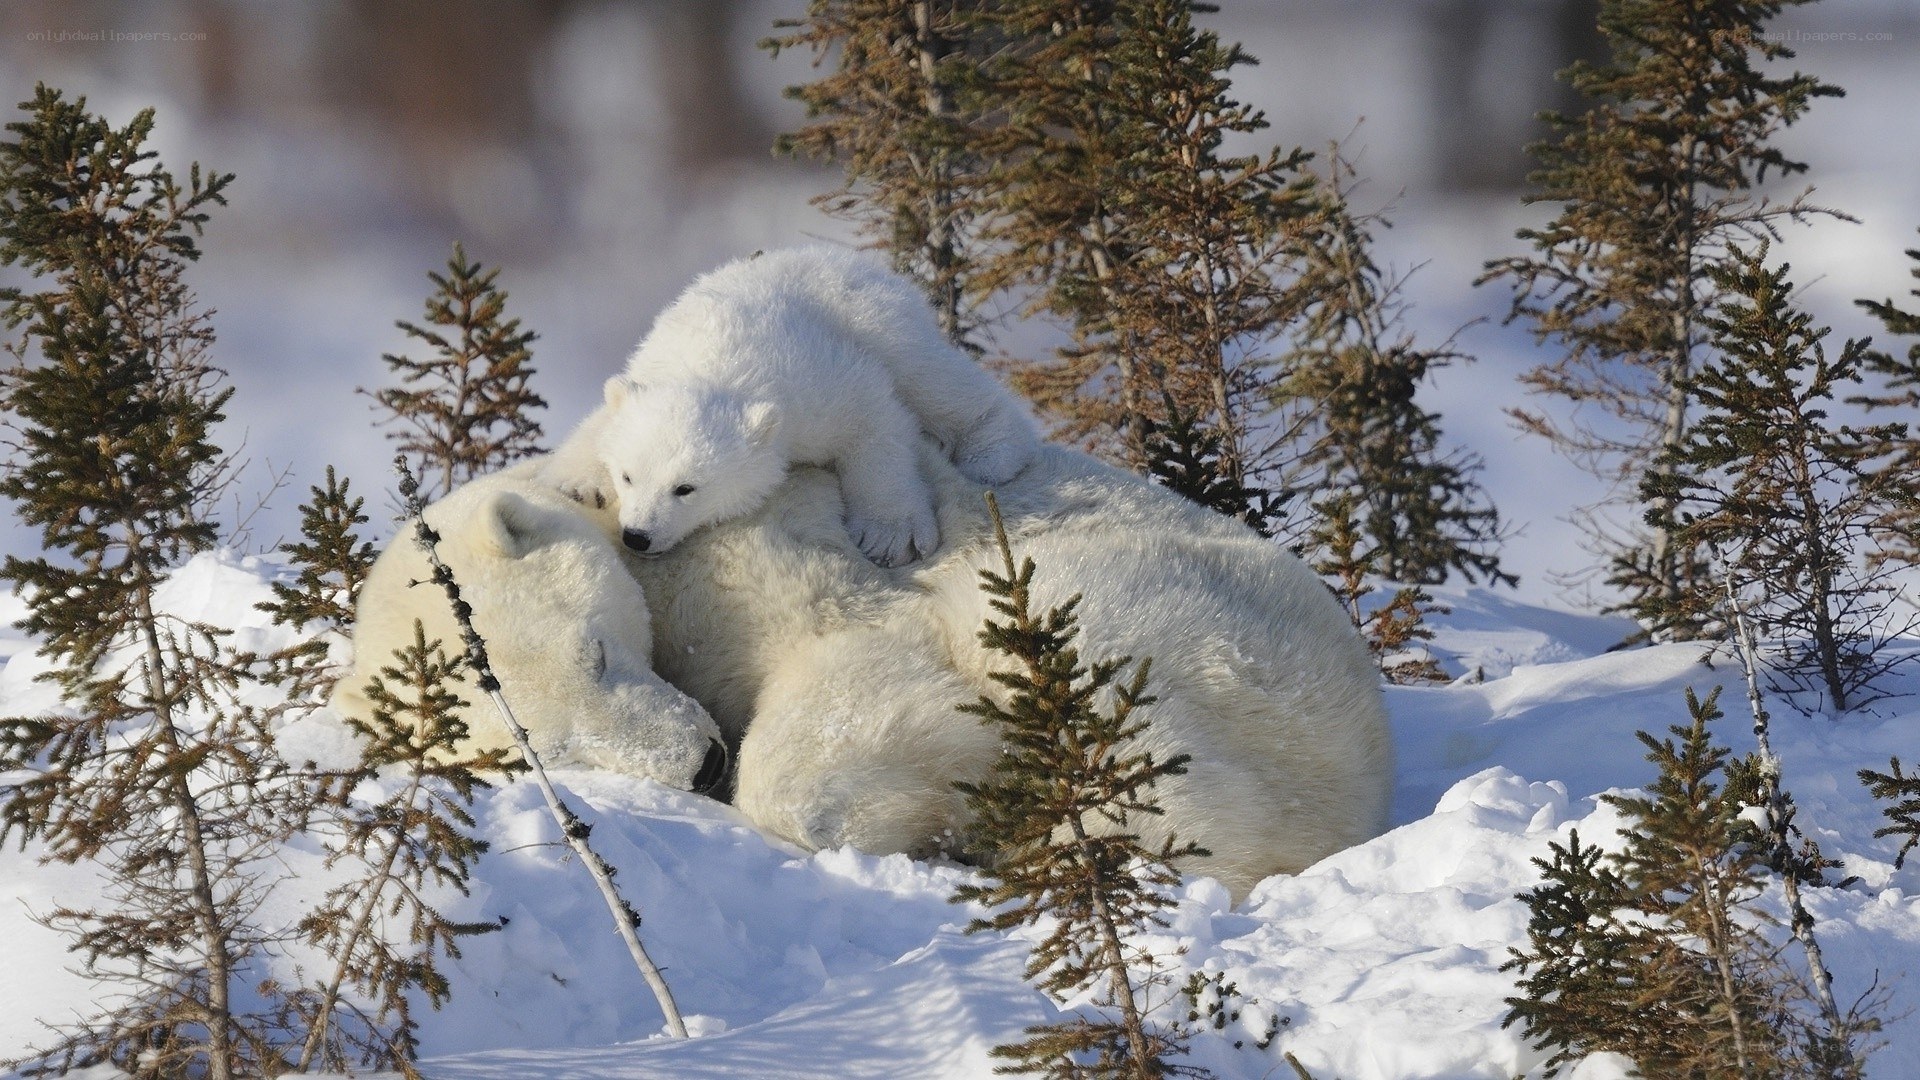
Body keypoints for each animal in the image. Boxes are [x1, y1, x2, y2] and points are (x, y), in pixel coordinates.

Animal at [538, 246, 1040, 567]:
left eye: (686, 488)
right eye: (627, 476)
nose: (637, 536)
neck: (714, 362)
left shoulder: (817, 385)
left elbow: (874, 420)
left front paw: (890, 534)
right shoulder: (652, 362)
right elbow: (604, 420)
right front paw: (580, 480)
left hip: (881, 321)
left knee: (934, 379)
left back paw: (991, 452)